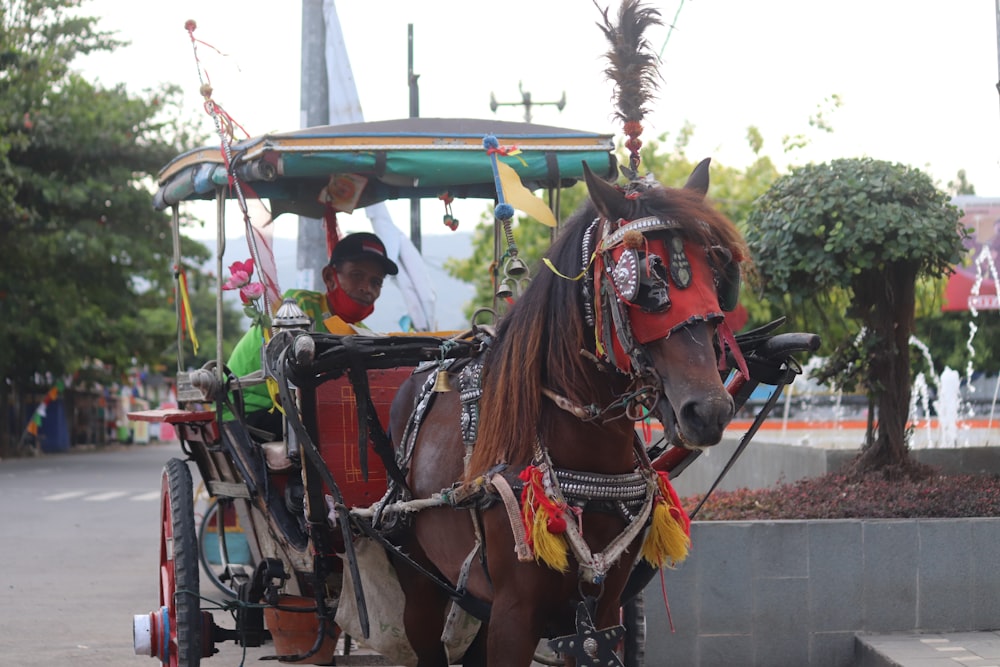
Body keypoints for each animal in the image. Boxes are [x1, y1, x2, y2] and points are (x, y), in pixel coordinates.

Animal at [386, 158, 748, 667]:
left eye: (718, 276)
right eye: (645, 282)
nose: (710, 410)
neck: (587, 456)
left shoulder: (603, 614)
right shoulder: (514, 615)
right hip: (418, 576)